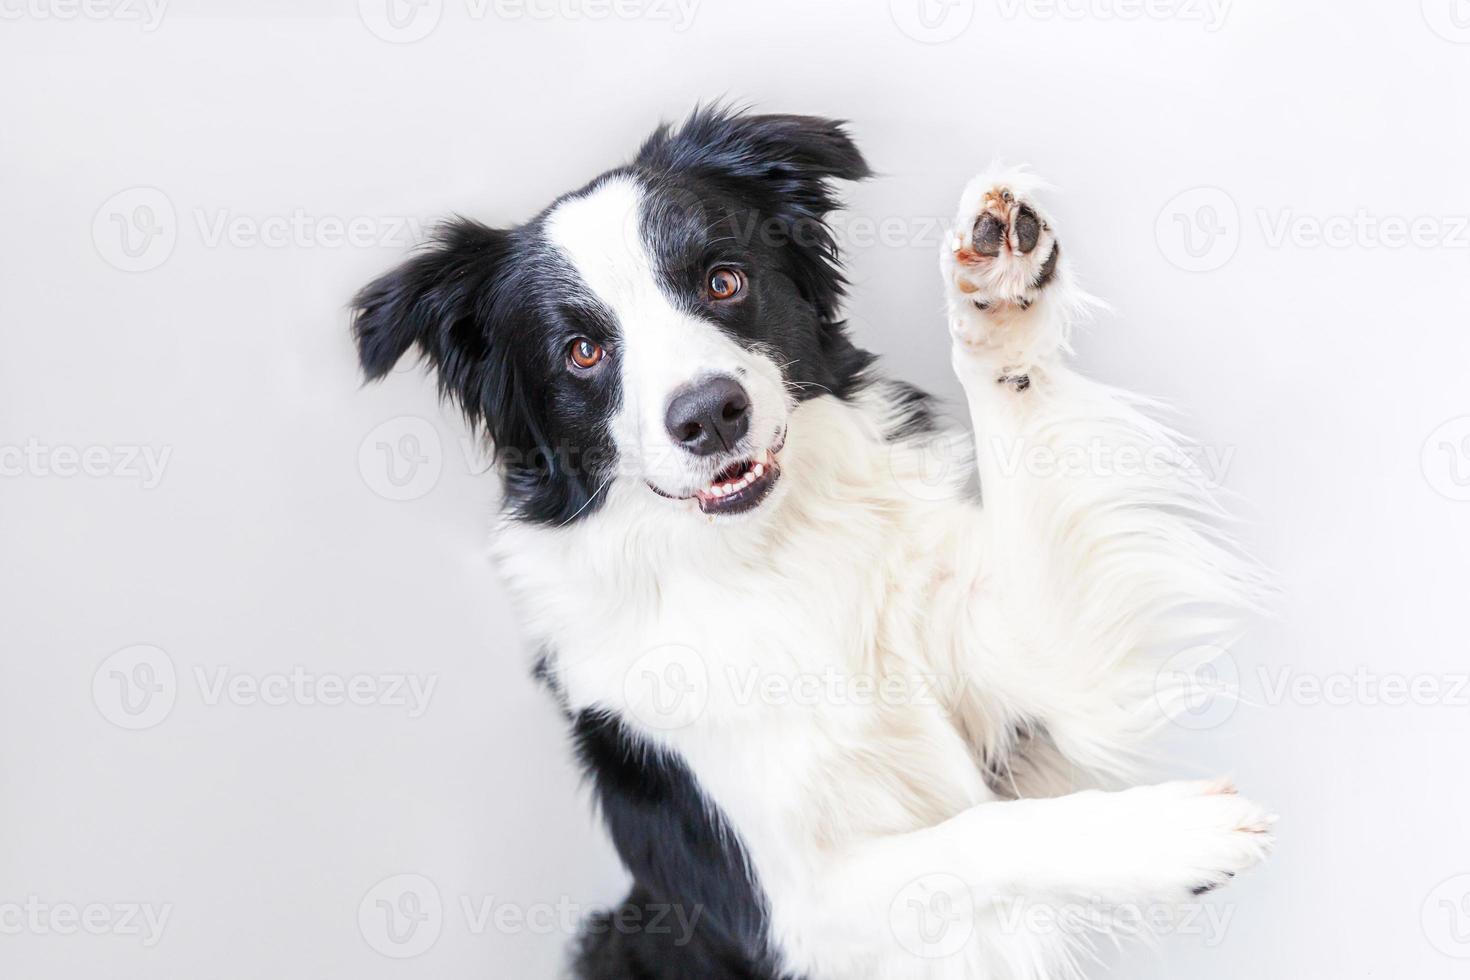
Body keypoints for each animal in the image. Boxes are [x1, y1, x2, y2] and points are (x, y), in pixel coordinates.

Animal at [349, 107, 1270, 980]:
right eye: (582, 352)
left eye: (723, 280)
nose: (710, 414)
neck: (770, 552)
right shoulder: (792, 910)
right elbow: (971, 835)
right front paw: (1170, 835)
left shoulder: (1041, 671)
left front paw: (1001, 296)